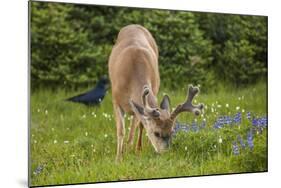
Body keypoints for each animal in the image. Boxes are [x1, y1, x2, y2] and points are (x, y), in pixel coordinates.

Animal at [108, 24, 202, 161]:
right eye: (156, 133)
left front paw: (130, 152)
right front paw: (118, 158)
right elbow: (121, 131)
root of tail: (134, 25)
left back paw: (139, 148)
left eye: (172, 131)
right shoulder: (116, 100)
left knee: (139, 126)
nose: (165, 153)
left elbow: (134, 130)